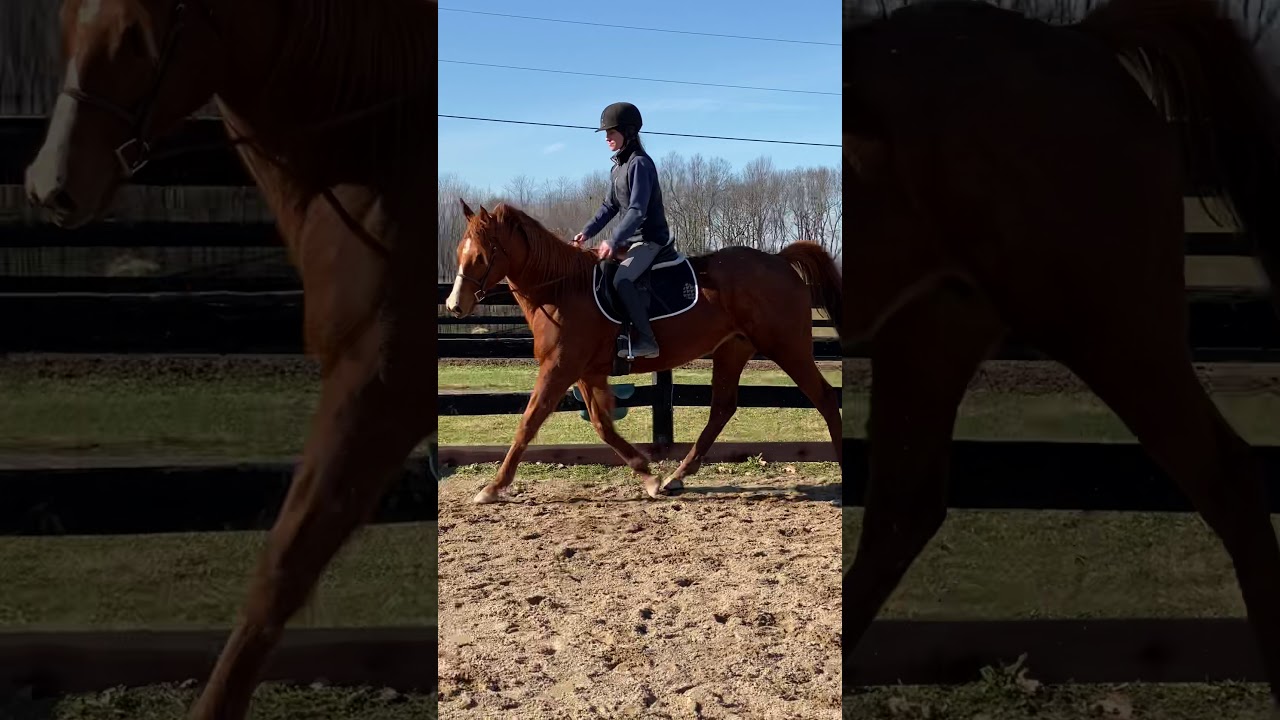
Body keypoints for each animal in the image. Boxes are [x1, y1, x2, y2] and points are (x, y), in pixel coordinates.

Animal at [23, 1, 435, 718]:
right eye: (69, 25)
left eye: (139, 37)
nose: (53, 186)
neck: (380, 161)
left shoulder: (379, 384)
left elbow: (283, 567)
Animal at [444, 200, 843, 505]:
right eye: (459, 252)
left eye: (480, 255)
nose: (454, 306)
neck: (561, 290)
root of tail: (779, 260)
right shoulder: (585, 372)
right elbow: (602, 426)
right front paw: (649, 477)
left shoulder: (560, 368)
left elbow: (528, 423)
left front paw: (493, 487)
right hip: (732, 350)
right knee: (722, 409)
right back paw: (677, 476)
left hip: (787, 348)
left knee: (824, 397)